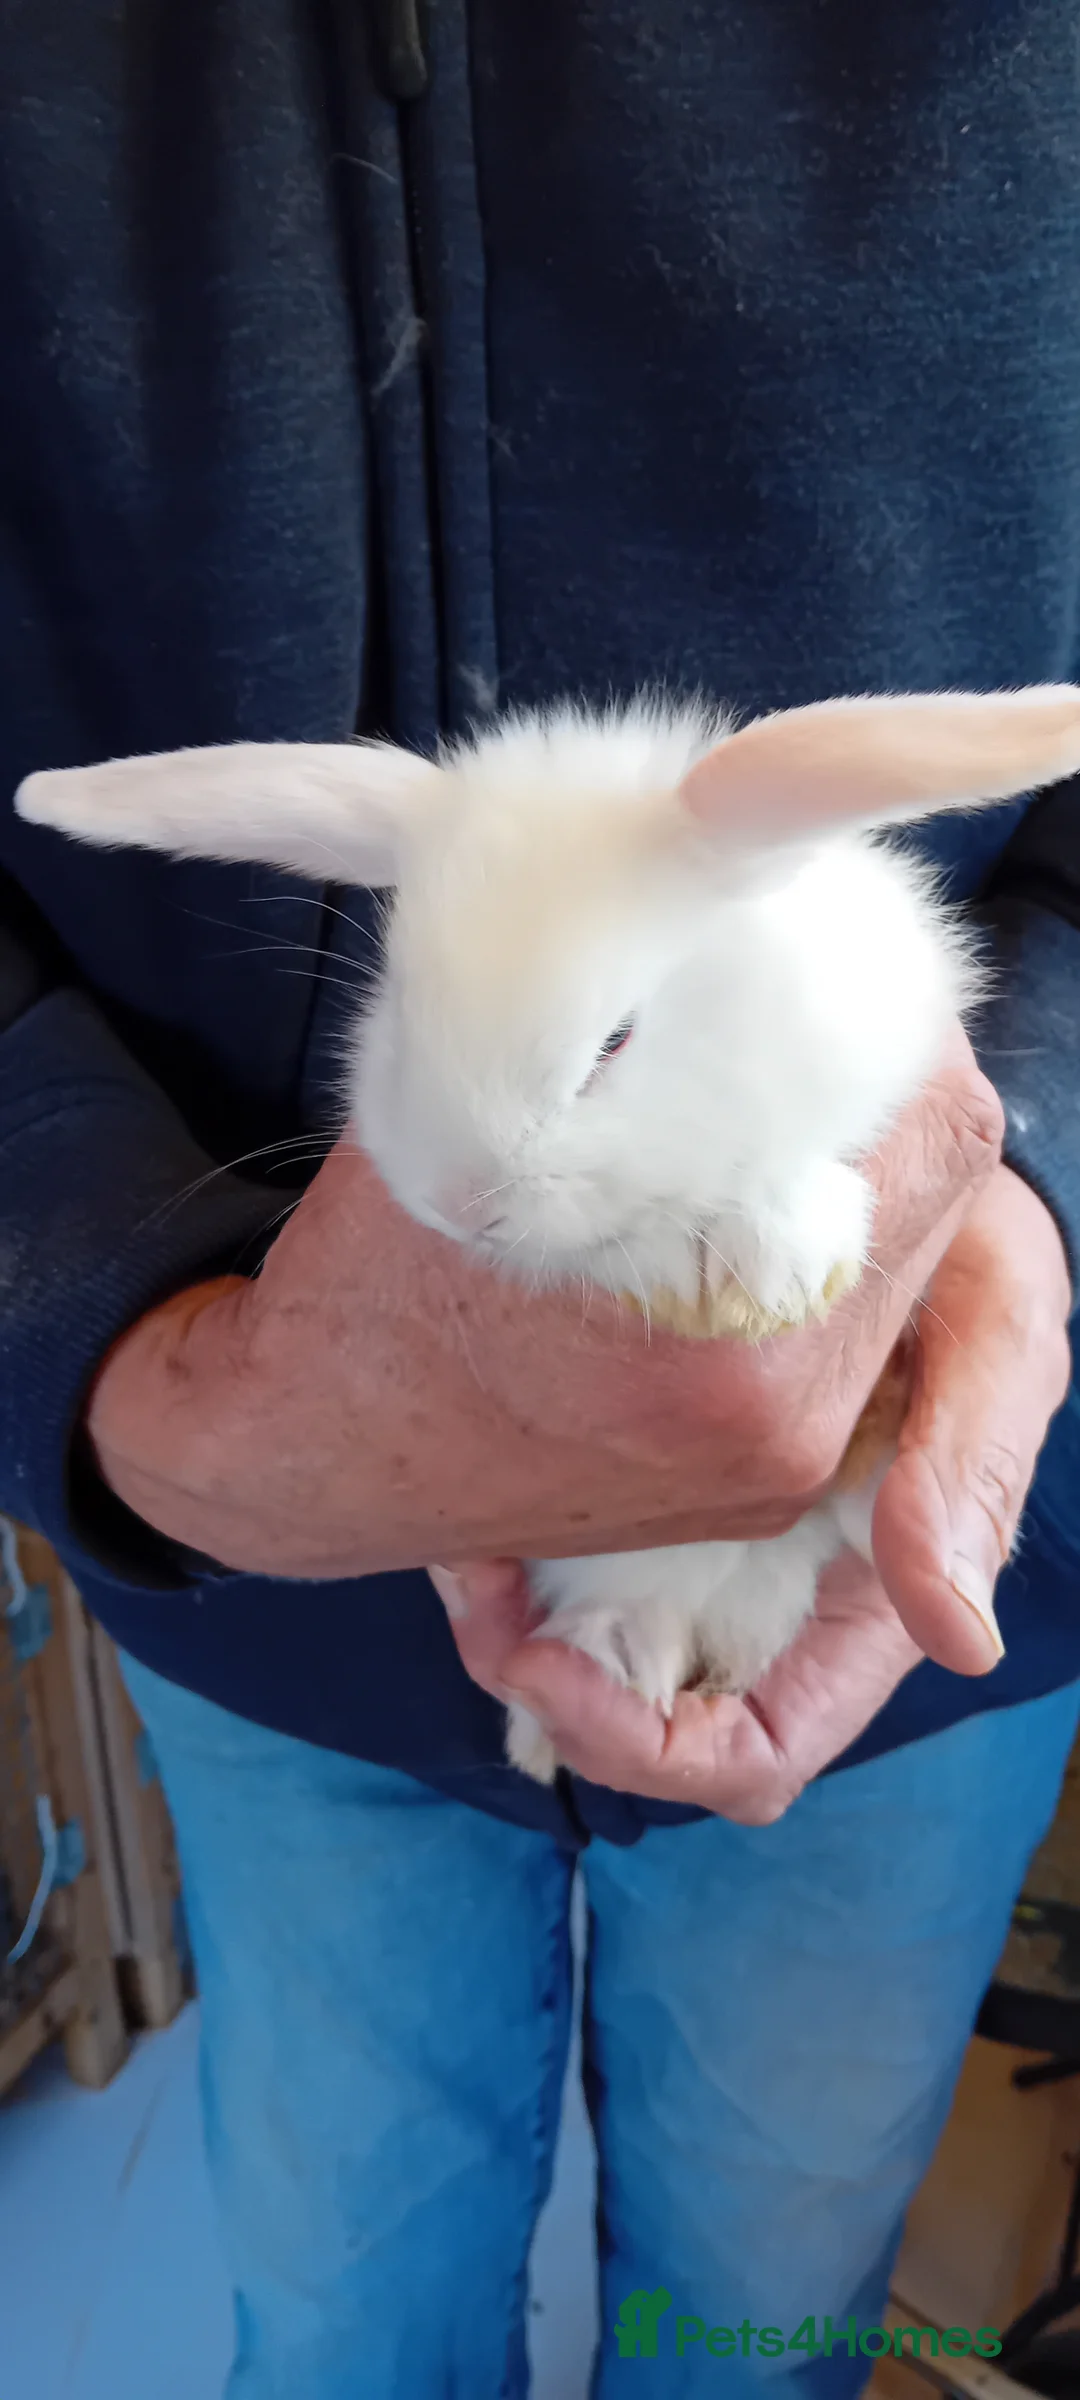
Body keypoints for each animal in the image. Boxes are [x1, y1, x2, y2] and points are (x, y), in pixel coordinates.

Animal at [18, 686, 1080, 1783]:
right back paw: (600, 1691)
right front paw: (704, 1278)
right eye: (400, 1012)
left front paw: (778, 1270)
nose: (463, 1199)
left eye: (615, 1040)